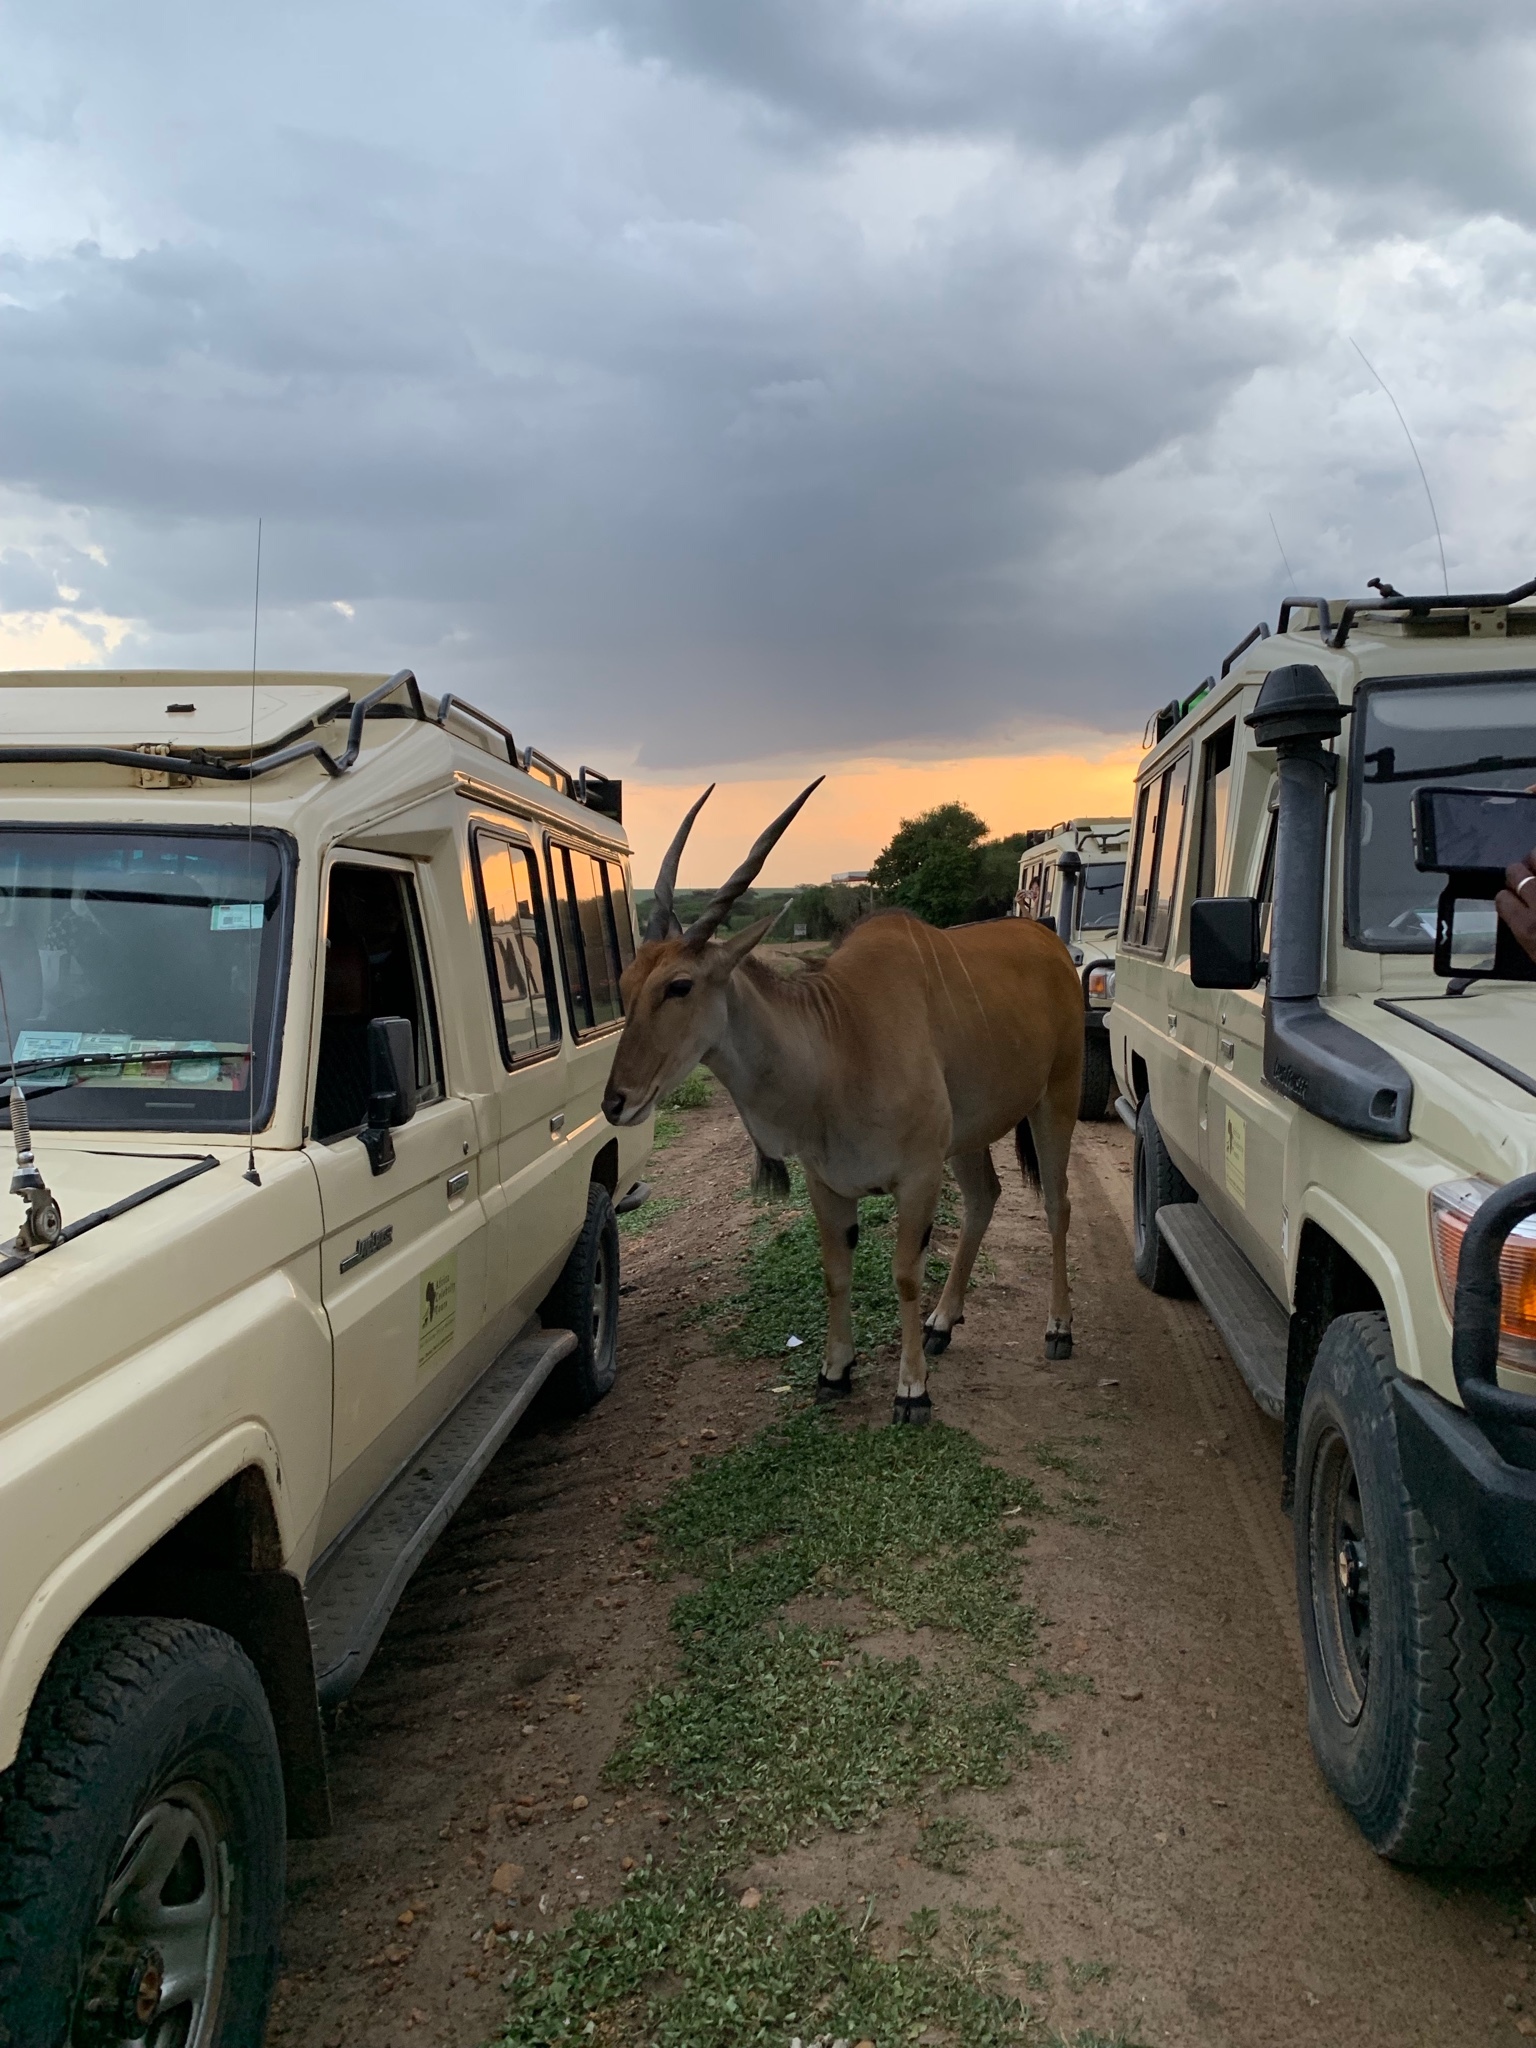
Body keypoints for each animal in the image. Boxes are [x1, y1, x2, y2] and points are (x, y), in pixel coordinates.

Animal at [606, 782, 1089, 1425]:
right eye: (626, 986)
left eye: (679, 986)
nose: (615, 1101)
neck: (839, 1043)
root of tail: (1050, 943)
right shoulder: (828, 1184)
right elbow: (836, 1272)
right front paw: (835, 1371)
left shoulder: (917, 1177)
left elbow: (904, 1274)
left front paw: (912, 1390)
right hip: (968, 1136)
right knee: (985, 1197)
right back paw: (943, 1321)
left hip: (1055, 1100)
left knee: (1057, 1205)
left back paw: (1058, 1328)